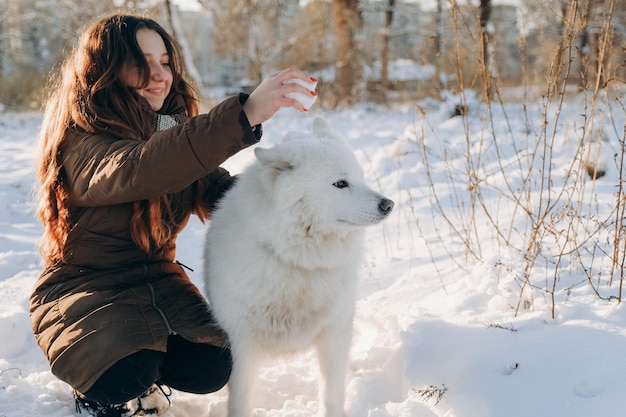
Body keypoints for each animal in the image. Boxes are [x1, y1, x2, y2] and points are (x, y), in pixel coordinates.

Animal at [202, 116, 392, 416]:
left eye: (360, 177)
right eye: (340, 183)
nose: (389, 204)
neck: (298, 261)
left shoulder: (335, 334)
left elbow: (332, 392)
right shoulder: (241, 346)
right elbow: (240, 400)